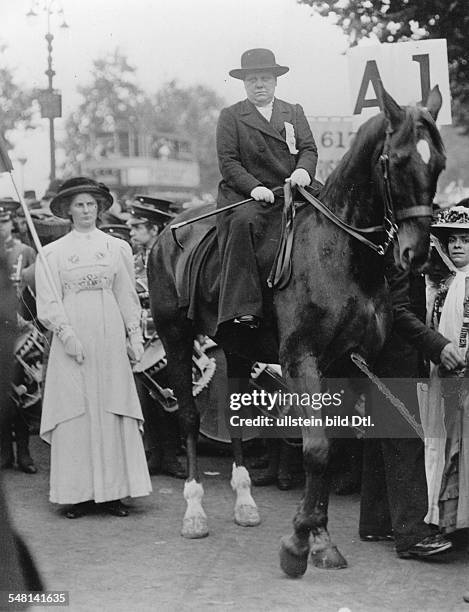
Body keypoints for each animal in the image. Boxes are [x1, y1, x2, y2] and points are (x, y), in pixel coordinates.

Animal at [148, 88, 444, 576]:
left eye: (438, 162)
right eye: (399, 160)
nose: (416, 254)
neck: (341, 255)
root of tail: (166, 231)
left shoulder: (349, 363)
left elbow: (332, 446)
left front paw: (319, 537)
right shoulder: (300, 359)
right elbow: (316, 449)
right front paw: (298, 541)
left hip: (236, 346)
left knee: (234, 418)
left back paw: (245, 501)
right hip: (174, 336)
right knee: (189, 416)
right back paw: (194, 510)